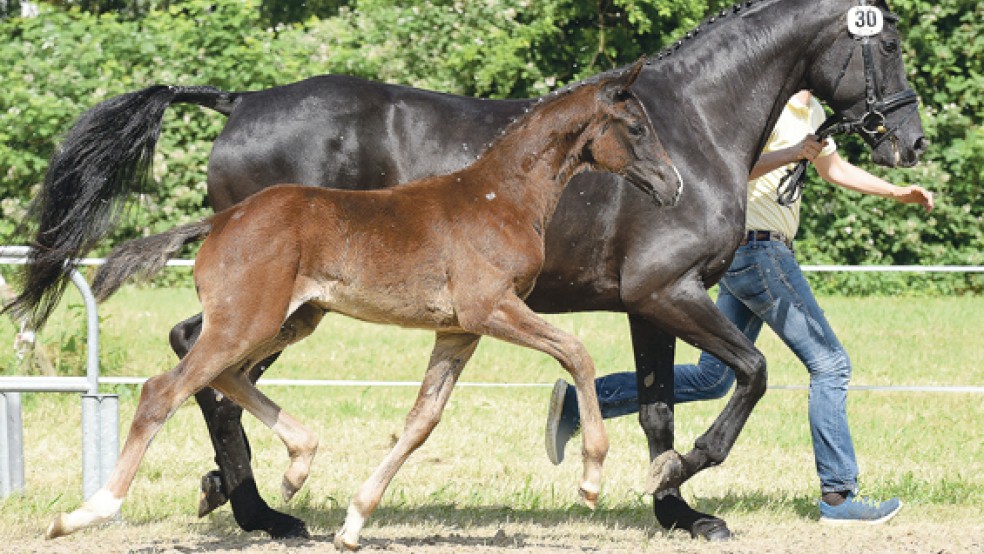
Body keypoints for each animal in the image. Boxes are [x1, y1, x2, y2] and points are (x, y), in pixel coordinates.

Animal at [44, 59, 676, 544]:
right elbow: (577, 351)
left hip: (290, 319)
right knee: (165, 389)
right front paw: (591, 478)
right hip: (251, 319)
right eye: (636, 126)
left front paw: (353, 522)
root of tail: (220, 221)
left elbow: (421, 421)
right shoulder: (489, 308)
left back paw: (297, 466)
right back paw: (85, 514)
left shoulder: (459, 330)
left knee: (220, 376)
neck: (501, 198)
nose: (674, 186)